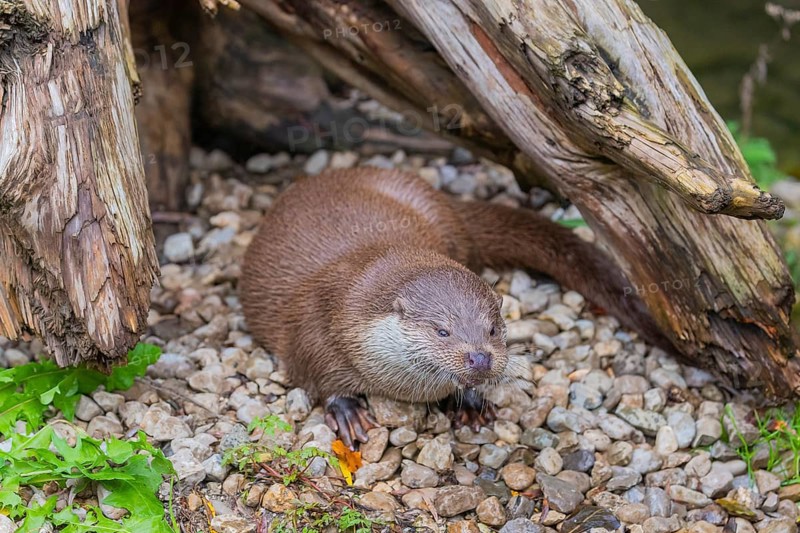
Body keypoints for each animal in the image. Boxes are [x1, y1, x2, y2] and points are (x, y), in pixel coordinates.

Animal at [241, 168, 666, 447]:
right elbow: (313, 370)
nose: (479, 357)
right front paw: (346, 409)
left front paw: (473, 402)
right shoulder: (313, 324)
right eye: (441, 331)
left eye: (492, 328)